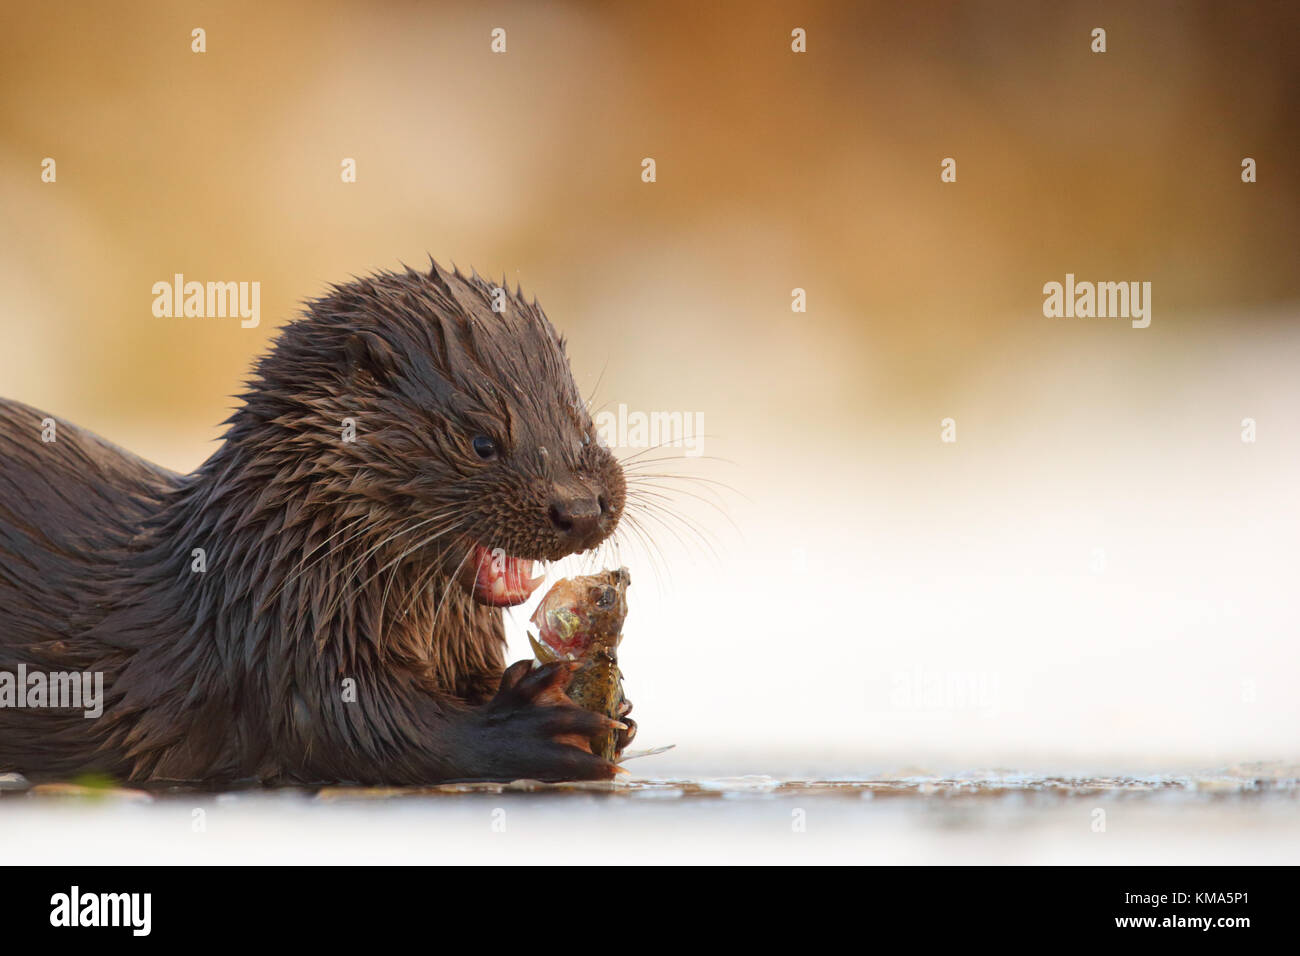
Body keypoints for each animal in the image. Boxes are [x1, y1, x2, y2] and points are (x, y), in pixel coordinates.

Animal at [0, 262, 635, 787]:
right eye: (482, 442)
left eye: (583, 425)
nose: (580, 508)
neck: (264, 583)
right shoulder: (287, 649)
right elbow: (371, 730)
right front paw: (528, 725)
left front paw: (619, 712)